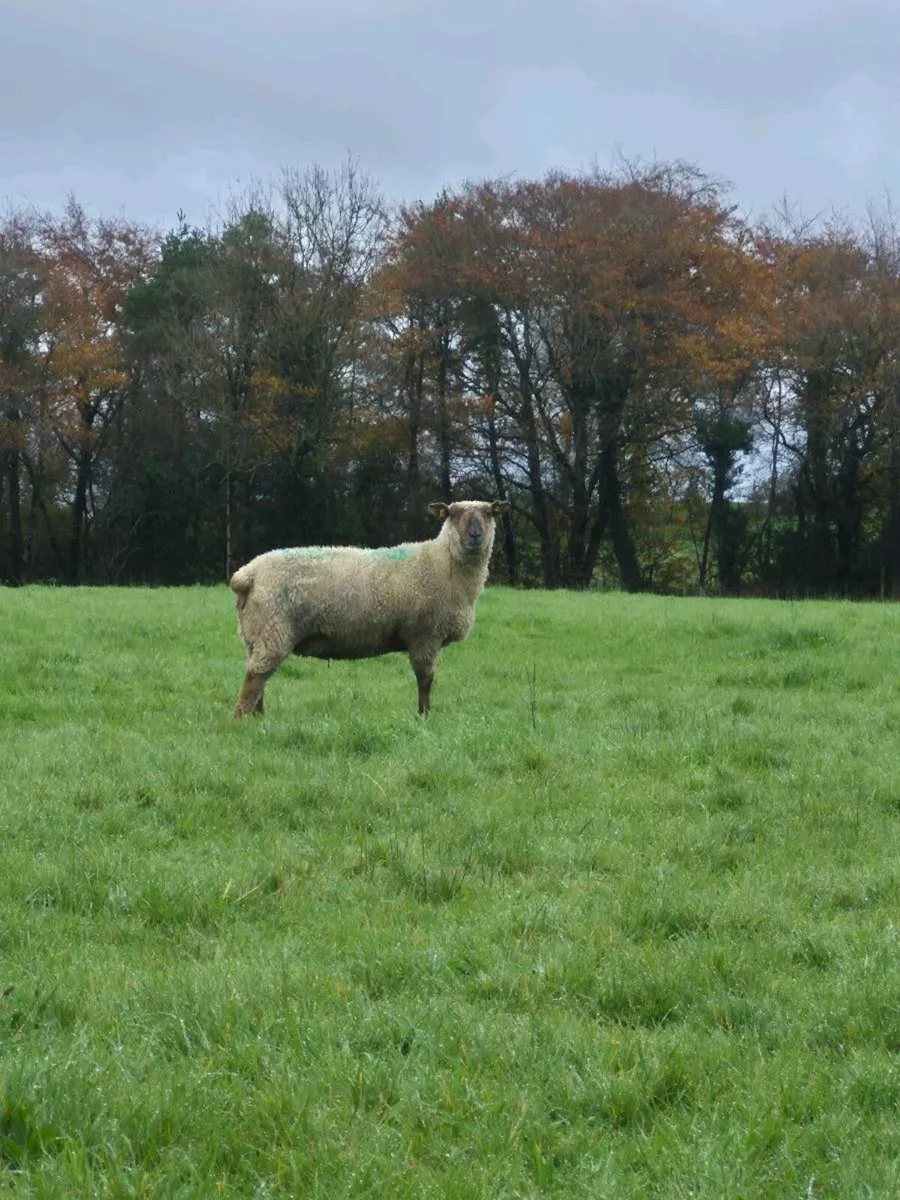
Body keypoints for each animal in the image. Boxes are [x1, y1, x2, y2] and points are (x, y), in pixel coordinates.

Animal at [230, 499, 511, 718]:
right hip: (272, 630)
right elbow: (425, 680)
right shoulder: (424, 634)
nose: (475, 536)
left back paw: (260, 718)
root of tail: (247, 574)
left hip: (255, 635)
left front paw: (424, 715)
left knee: (259, 679)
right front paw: (424, 716)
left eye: (490, 513)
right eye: (453, 514)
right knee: (254, 680)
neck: (443, 561)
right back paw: (242, 720)